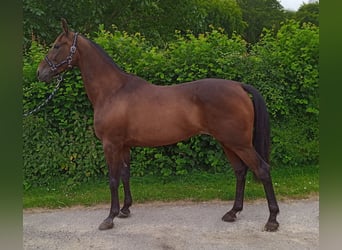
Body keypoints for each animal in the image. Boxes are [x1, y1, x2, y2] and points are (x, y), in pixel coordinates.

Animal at [37, 18, 280, 231]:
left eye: (56, 45)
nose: (40, 72)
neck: (113, 91)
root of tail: (239, 86)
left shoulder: (110, 144)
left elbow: (113, 179)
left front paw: (110, 218)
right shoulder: (124, 145)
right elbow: (125, 174)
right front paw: (125, 209)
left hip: (239, 143)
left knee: (262, 169)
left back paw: (272, 220)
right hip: (227, 142)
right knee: (240, 171)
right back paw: (233, 212)